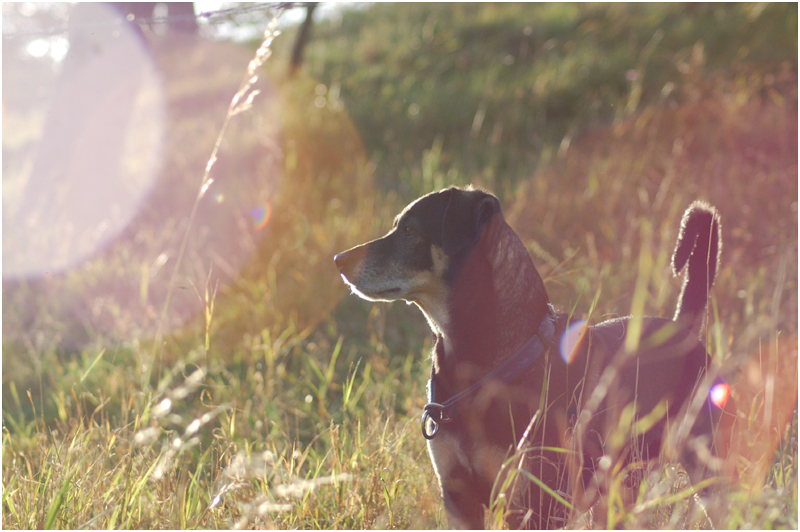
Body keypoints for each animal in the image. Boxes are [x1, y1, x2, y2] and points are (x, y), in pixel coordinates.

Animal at [334, 187, 736, 528]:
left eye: (411, 231)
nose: (339, 259)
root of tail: (683, 328)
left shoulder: (533, 505)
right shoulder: (458, 496)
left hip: (707, 469)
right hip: (620, 487)